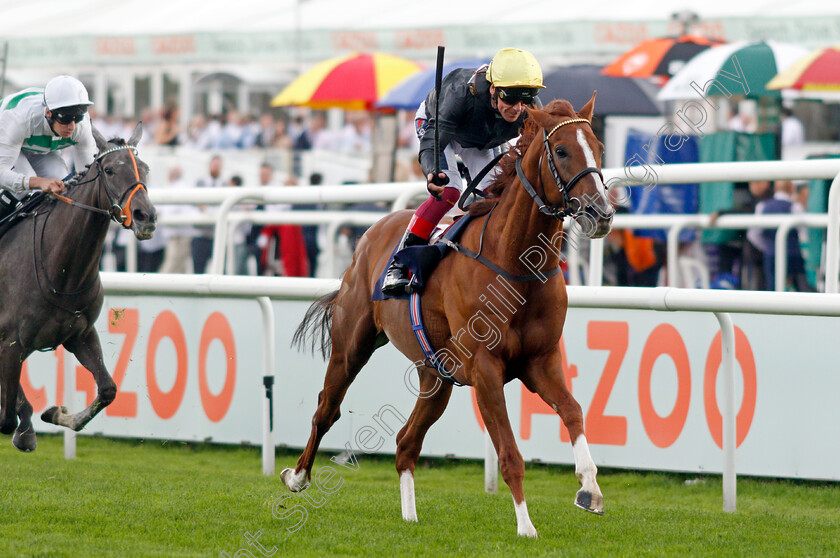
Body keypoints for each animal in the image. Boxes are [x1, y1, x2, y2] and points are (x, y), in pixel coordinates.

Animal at [0, 124, 157, 452]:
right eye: (109, 170)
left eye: (146, 168)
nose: (146, 217)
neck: (61, 270)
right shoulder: (10, 342)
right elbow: (6, 417)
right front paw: (26, 427)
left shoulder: (80, 334)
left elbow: (108, 389)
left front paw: (56, 414)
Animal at [286, 96, 612, 540]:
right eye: (561, 151)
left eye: (599, 147)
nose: (602, 212)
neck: (515, 263)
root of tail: (371, 233)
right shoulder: (486, 369)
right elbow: (509, 453)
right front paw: (526, 527)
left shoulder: (540, 361)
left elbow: (573, 410)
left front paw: (589, 489)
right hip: (351, 346)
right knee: (327, 409)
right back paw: (298, 477)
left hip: (436, 375)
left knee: (406, 442)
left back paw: (410, 516)